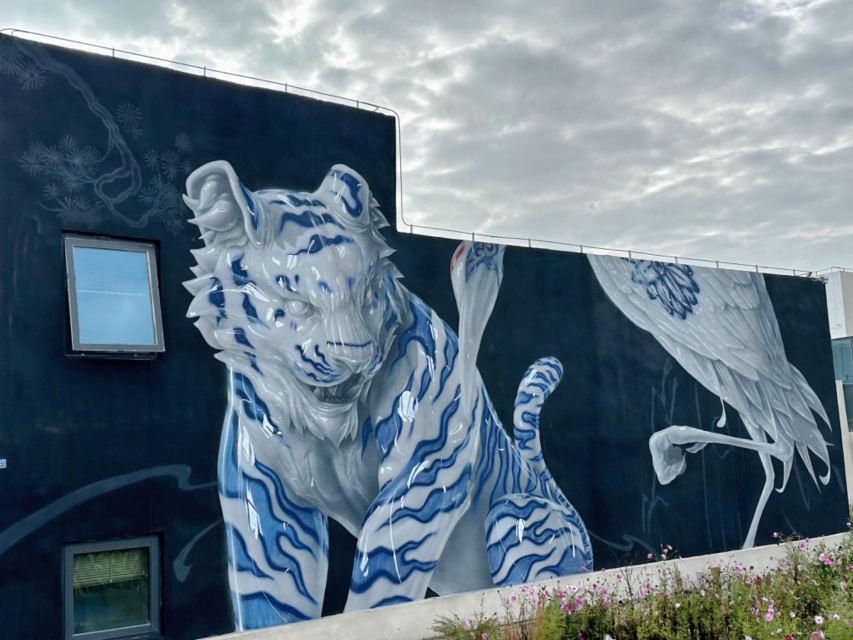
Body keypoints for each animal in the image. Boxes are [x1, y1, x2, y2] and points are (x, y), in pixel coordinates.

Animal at [182, 161, 593, 630]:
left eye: (365, 295)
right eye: (300, 304)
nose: (356, 360)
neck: (326, 431)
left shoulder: (426, 468)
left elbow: (381, 579)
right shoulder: (263, 491)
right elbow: (268, 594)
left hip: (517, 513)